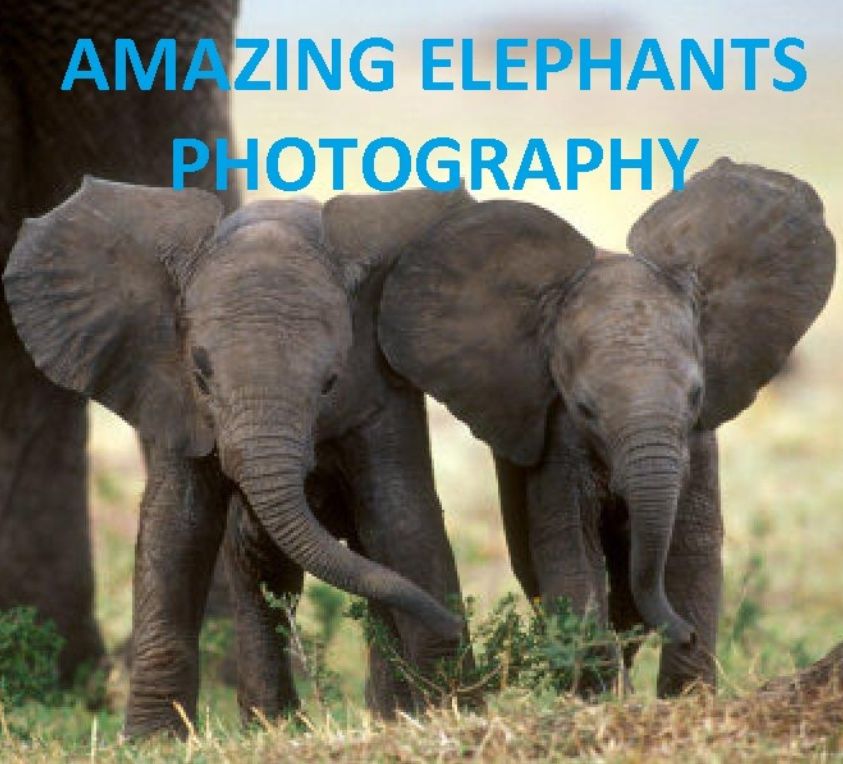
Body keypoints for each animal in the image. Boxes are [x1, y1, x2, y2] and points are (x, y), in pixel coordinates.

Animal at [3, 178, 470, 736]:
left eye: (330, 383)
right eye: (202, 375)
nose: (457, 625)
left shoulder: (382, 389)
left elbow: (399, 517)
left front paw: (455, 708)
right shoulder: (172, 392)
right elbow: (177, 528)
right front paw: (153, 741)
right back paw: (277, 727)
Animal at [327, 158, 834, 695]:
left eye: (696, 395)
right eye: (585, 408)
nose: (686, 633)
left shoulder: (698, 436)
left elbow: (693, 547)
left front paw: (684, 696)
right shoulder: (557, 432)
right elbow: (569, 550)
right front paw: (605, 697)